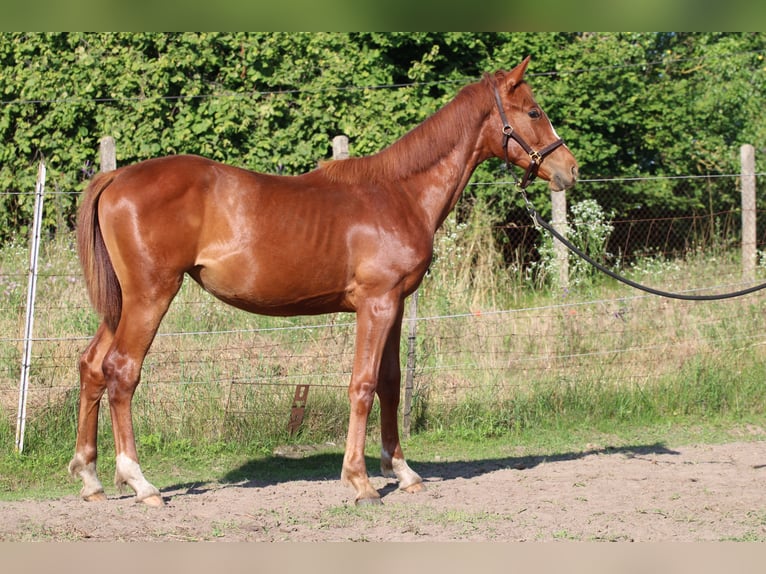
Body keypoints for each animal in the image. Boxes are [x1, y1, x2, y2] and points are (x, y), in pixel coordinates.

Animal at [69, 56, 578, 507]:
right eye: (534, 111)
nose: (569, 169)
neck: (399, 193)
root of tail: (116, 177)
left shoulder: (393, 306)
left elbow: (390, 382)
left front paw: (402, 471)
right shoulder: (376, 304)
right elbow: (363, 385)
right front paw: (360, 481)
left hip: (122, 303)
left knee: (92, 366)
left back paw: (91, 478)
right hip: (151, 296)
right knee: (122, 371)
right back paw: (141, 483)